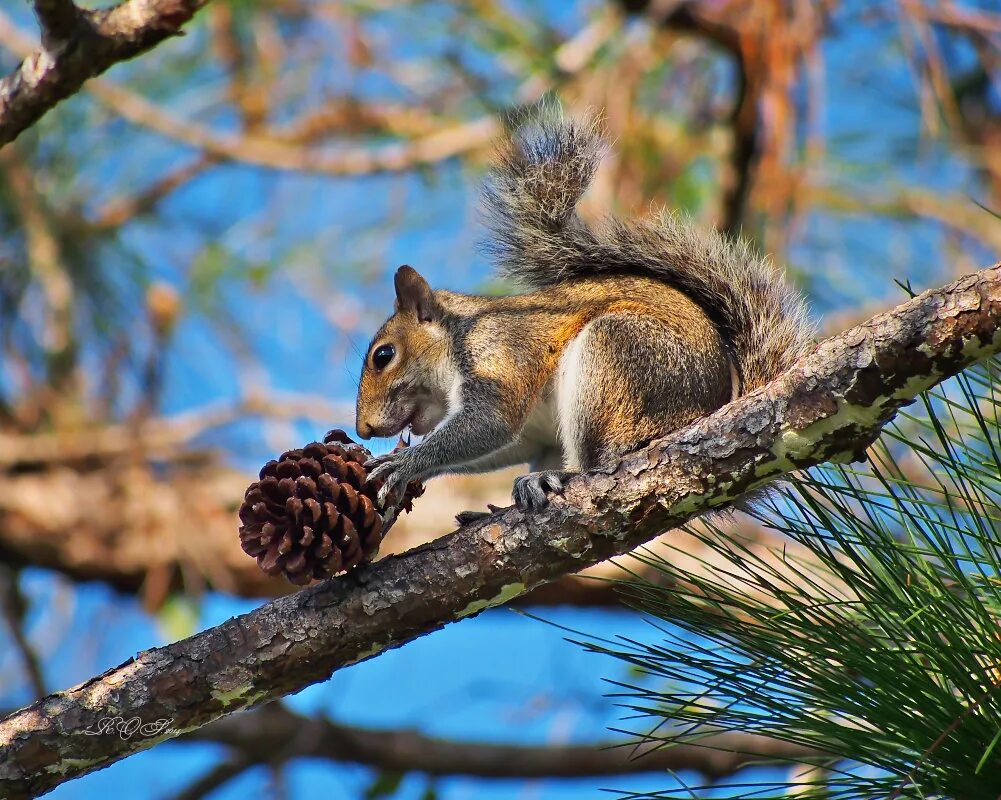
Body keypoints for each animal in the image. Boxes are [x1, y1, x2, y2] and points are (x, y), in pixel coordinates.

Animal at [352, 106, 812, 512]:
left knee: (604, 462)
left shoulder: (500, 352)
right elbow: (502, 442)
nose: (364, 430)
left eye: (383, 355)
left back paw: (563, 475)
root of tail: (708, 413)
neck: (456, 339)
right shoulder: (531, 437)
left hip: (618, 359)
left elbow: (491, 421)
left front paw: (405, 463)